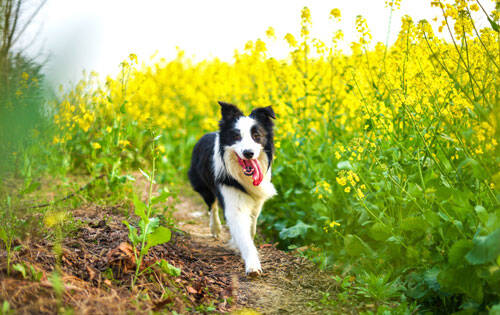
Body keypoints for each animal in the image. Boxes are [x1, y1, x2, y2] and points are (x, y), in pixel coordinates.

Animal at [188, 102, 278, 276]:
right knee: (212, 206)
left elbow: (252, 227)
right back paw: (215, 228)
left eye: (256, 136)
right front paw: (252, 265)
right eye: (236, 136)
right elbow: (242, 232)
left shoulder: (257, 202)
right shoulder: (232, 201)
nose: (248, 153)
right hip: (202, 185)